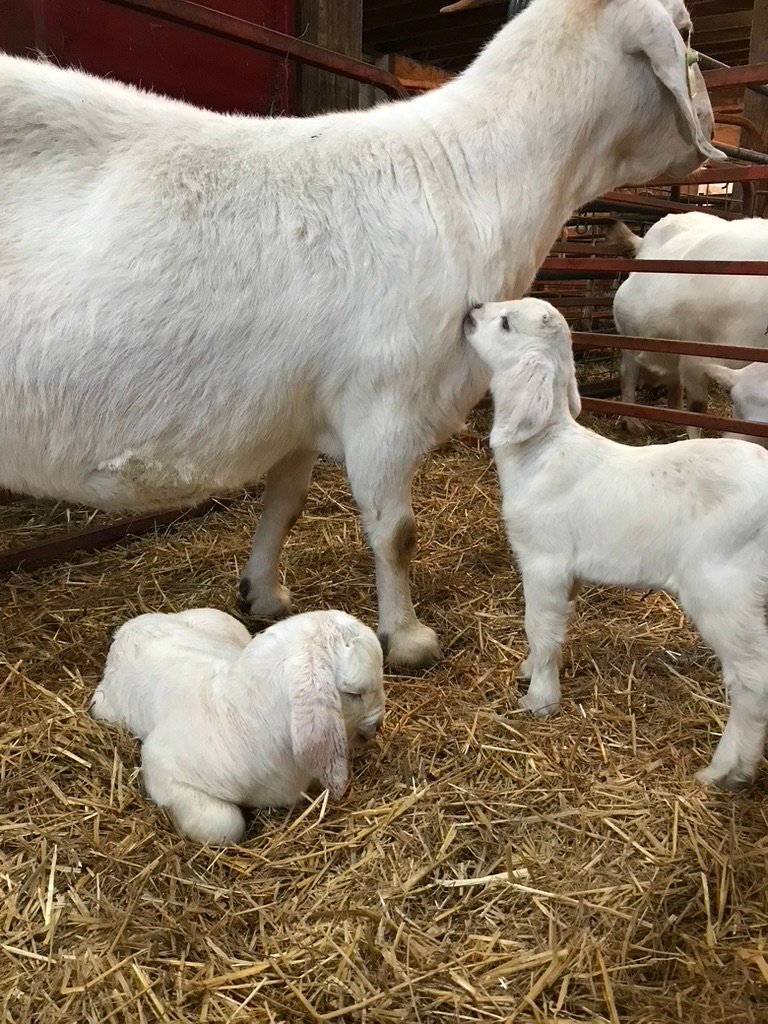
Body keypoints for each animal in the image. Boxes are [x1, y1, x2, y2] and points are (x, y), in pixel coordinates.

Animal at [0, 0, 721, 668]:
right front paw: (406, 638)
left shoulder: (300, 404)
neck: (470, 176)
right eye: (686, 31)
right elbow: (396, 532)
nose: (714, 131)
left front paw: (261, 592)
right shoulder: (385, 399)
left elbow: (285, 504)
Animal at [90, 609, 385, 844]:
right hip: (102, 708)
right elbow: (224, 826)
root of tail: (129, 628)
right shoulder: (162, 765)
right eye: (355, 694)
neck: (244, 716)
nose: (376, 728)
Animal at [465, 297, 768, 788]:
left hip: (724, 586)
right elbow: (554, 629)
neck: (541, 452)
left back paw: (725, 770)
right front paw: (530, 670)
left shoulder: (544, 560)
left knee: (753, 679)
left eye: (506, 323)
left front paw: (539, 700)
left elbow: (539, 626)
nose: (471, 309)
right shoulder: (568, 572)